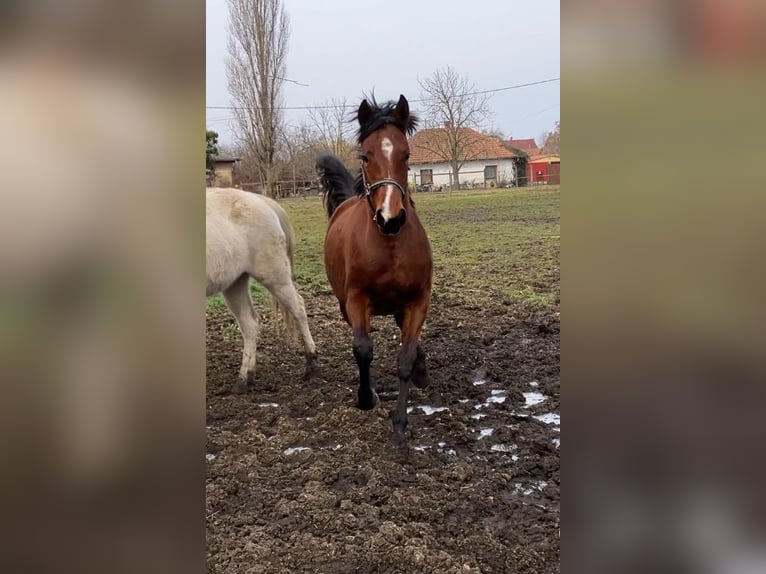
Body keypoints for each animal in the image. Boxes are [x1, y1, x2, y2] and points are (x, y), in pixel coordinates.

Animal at [207, 187, 318, 394]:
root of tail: (261, 200)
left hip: (275, 277)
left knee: (298, 308)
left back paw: (311, 364)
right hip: (235, 283)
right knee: (249, 324)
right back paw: (244, 379)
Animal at [314, 97, 432, 444]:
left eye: (406, 154)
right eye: (366, 156)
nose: (389, 218)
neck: (389, 244)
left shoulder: (417, 300)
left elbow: (405, 357)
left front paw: (400, 424)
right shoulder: (356, 300)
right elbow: (363, 350)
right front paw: (367, 397)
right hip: (345, 305)